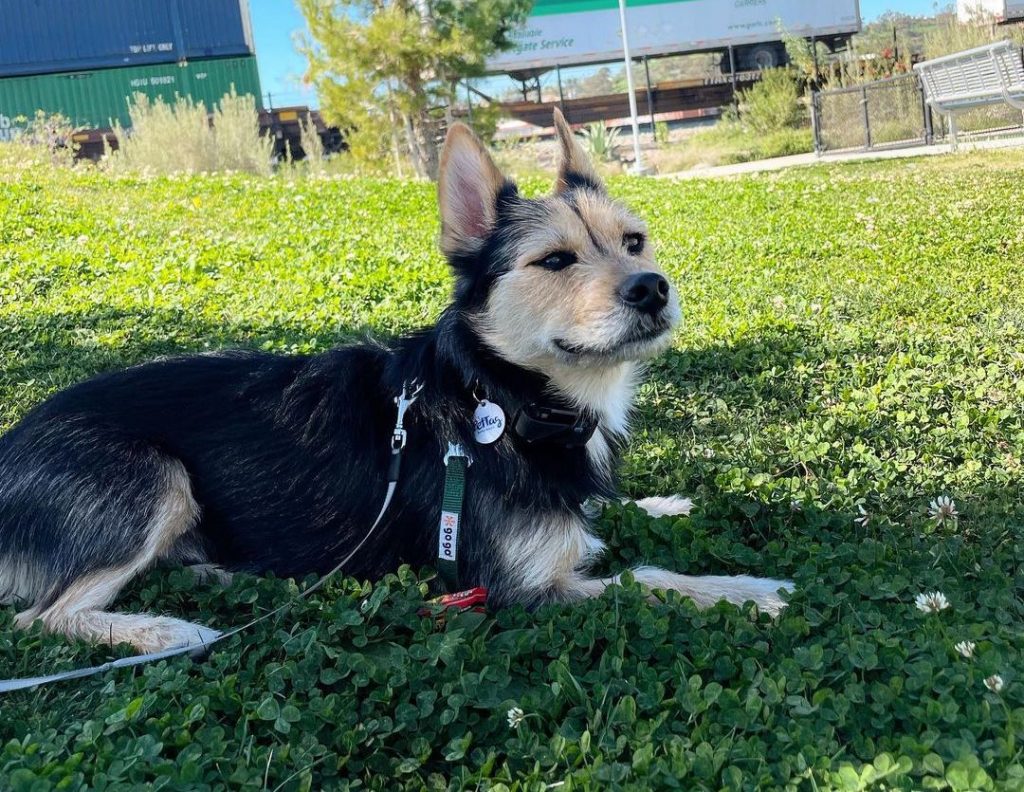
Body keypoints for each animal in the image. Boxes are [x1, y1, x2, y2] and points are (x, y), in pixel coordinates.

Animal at [0, 112, 790, 655]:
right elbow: (648, 581)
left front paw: (664, 503)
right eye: (556, 261)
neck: (500, 395)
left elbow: (616, 512)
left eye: (634, 241)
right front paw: (746, 592)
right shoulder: (521, 589)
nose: (652, 287)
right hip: (152, 479)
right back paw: (165, 629)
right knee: (42, 615)